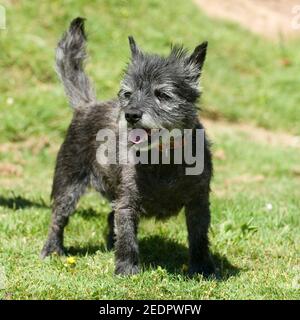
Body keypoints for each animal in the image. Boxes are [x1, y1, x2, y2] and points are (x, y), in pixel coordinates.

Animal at [41, 18, 216, 278]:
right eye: (127, 93)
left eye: (163, 94)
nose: (131, 114)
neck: (163, 158)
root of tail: (86, 105)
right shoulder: (128, 202)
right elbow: (127, 236)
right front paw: (126, 269)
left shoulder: (198, 202)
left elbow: (199, 238)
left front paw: (203, 268)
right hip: (68, 183)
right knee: (58, 218)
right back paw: (53, 249)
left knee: (108, 217)